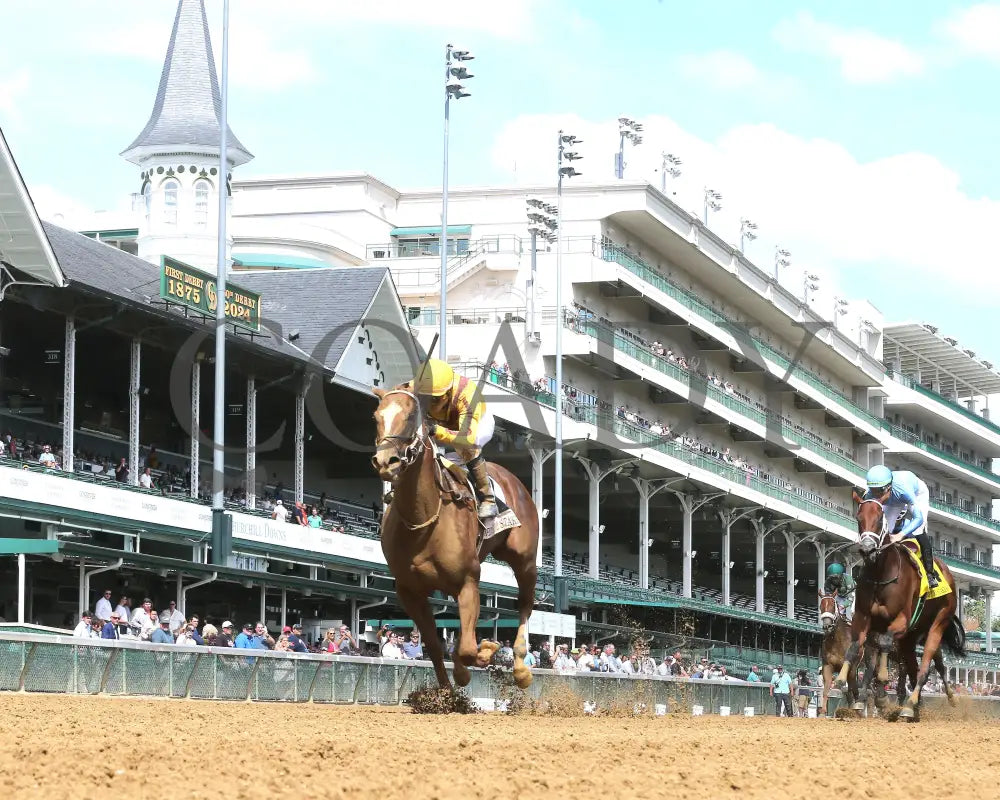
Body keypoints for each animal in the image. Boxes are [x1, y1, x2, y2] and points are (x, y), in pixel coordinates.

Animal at [370, 386, 540, 688]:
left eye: (411, 417)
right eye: (376, 417)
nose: (385, 461)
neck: (422, 521)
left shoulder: (468, 580)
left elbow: (469, 649)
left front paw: (487, 650)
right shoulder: (409, 590)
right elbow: (436, 646)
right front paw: (449, 688)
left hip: (525, 560)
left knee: (524, 604)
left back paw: (521, 668)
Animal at [836, 490, 968, 720]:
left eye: (880, 518)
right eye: (859, 518)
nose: (868, 549)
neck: (880, 574)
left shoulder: (902, 620)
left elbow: (885, 644)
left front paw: (881, 688)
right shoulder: (864, 618)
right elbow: (857, 649)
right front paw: (850, 686)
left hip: (938, 624)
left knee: (927, 667)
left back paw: (913, 704)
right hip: (911, 638)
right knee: (917, 669)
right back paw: (916, 707)